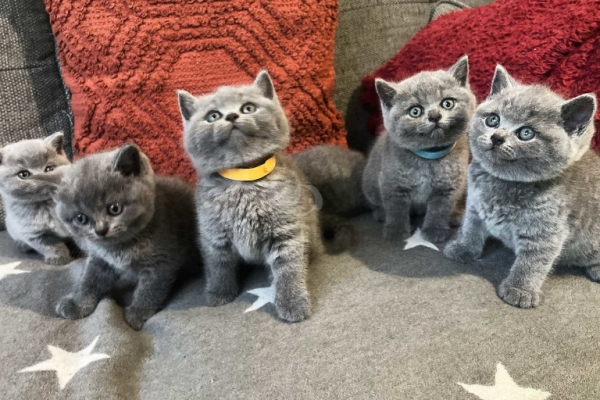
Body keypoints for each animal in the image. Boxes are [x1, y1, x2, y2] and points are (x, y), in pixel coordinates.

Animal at [0, 132, 78, 266]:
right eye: (23, 174)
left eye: (49, 169)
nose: (41, 178)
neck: (46, 205)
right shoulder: (34, 234)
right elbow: (51, 246)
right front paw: (59, 258)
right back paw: (22, 245)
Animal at [54, 145, 199, 330]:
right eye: (80, 218)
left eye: (115, 208)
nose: (100, 230)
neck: (121, 246)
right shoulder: (100, 259)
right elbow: (89, 280)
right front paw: (77, 304)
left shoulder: (161, 262)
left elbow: (150, 289)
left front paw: (138, 313)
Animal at [178, 70, 324, 324]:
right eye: (213, 116)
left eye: (248, 108)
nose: (232, 115)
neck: (243, 180)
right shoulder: (213, 233)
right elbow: (217, 265)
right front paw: (219, 293)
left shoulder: (286, 230)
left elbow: (289, 268)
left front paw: (293, 303)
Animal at [360, 54, 474, 242]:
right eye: (415, 111)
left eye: (447, 103)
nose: (434, 115)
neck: (428, 158)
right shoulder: (392, 182)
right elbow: (395, 208)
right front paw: (396, 231)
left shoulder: (447, 188)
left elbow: (439, 210)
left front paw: (434, 231)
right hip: (369, 183)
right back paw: (381, 214)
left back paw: (456, 216)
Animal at [442, 66, 596, 310]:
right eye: (493, 120)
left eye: (526, 133)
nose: (497, 137)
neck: (502, 183)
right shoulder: (475, 205)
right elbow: (471, 228)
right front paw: (464, 248)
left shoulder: (546, 230)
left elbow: (532, 261)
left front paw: (520, 289)